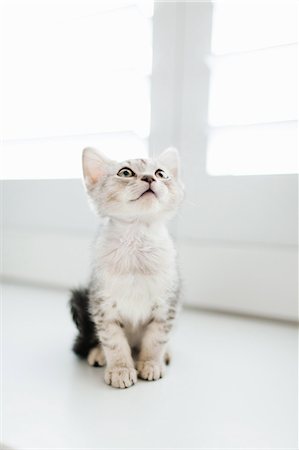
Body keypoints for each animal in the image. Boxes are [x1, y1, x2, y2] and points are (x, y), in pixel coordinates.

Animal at [70, 147, 184, 386]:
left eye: (161, 173)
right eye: (125, 172)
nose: (149, 178)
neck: (137, 240)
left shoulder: (167, 304)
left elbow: (157, 338)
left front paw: (151, 363)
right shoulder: (102, 304)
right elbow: (113, 340)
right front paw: (120, 369)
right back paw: (99, 353)